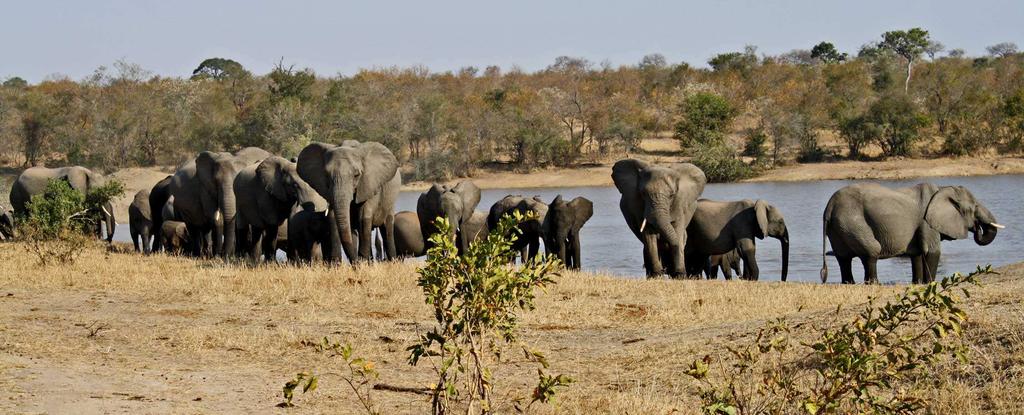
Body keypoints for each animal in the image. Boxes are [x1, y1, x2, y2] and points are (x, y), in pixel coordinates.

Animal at [819, 182, 1003, 282]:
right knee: (871, 252)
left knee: (843, 258)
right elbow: (932, 252)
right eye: (975, 207)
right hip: (852, 222)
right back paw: (874, 283)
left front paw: (918, 283)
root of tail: (829, 207)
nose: (978, 227)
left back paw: (848, 283)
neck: (942, 189)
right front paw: (931, 284)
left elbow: (917, 254)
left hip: (839, 226)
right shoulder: (927, 222)